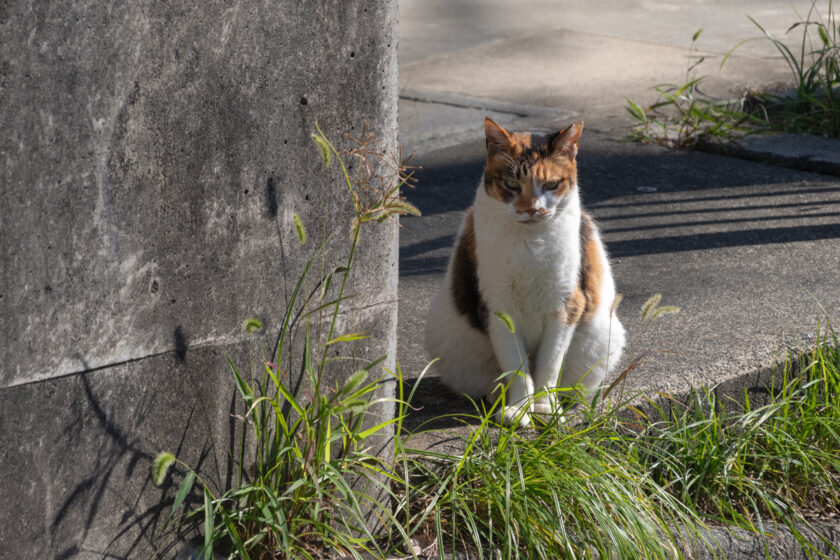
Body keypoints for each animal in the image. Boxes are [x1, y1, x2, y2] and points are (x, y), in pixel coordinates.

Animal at [424, 117, 628, 424]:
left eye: (552, 184)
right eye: (511, 184)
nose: (531, 209)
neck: (531, 243)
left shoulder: (566, 303)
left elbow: (549, 364)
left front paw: (545, 407)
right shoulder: (497, 306)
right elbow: (516, 364)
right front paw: (518, 407)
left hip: (603, 336)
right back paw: (497, 396)